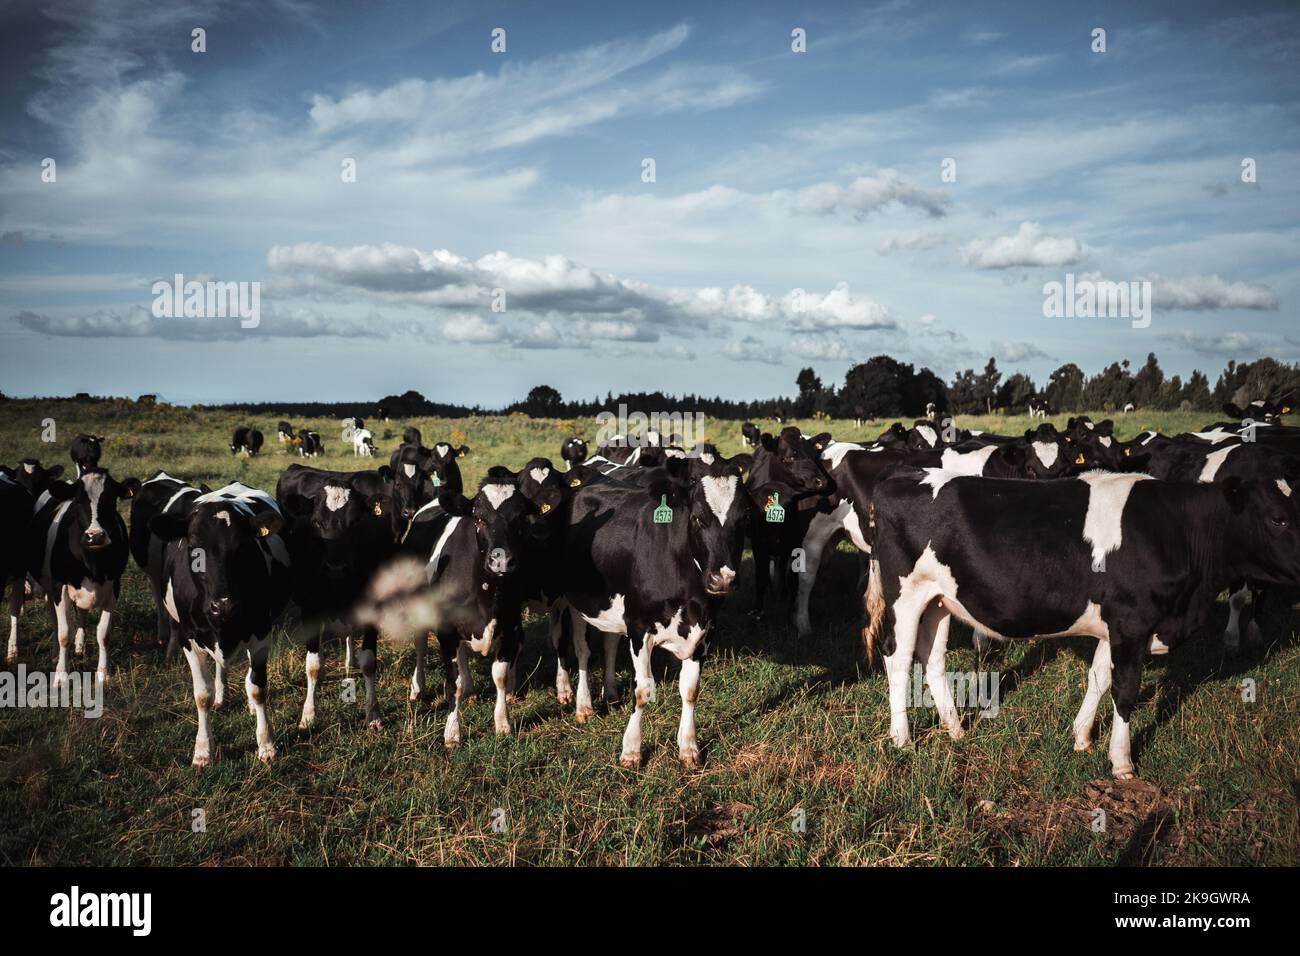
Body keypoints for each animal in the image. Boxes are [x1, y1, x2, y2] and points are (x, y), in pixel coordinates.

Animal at [26, 468, 140, 683]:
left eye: (111, 499)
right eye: (78, 501)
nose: (95, 536)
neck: (92, 564)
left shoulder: (114, 587)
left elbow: (103, 633)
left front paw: (103, 673)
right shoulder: (59, 586)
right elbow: (64, 633)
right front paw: (61, 675)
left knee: (83, 613)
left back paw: (79, 646)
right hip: (48, 586)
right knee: (54, 618)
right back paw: (55, 653)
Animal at [146, 483, 292, 767]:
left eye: (243, 546)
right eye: (194, 546)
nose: (224, 605)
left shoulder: (261, 632)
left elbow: (258, 687)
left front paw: (267, 744)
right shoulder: (188, 638)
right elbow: (202, 695)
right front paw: (203, 751)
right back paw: (222, 697)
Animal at [558, 453, 752, 766]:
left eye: (744, 517)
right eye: (697, 518)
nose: (722, 579)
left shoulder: (705, 631)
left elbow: (690, 690)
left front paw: (689, 747)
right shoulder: (639, 627)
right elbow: (643, 690)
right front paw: (631, 750)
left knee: (609, 643)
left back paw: (610, 693)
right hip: (570, 598)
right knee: (580, 649)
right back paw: (582, 704)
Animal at [864, 469, 1300, 778]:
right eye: (1278, 519)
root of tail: (897, 478)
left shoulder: (1116, 625)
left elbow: (1099, 678)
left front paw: (1082, 737)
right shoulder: (1132, 621)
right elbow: (1125, 690)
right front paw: (1122, 762)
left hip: (938, 600)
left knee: (932, 659)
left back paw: (955, 729)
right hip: (905, 595)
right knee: (897, 658)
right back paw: (902, 739)